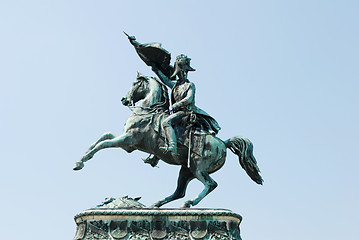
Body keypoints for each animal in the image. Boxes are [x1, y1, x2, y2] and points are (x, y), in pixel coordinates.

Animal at [74, 74, 264, 207]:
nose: (124, 99)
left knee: (210, 184)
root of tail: (223, 143)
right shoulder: (129, 144)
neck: (147, 110)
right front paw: (82, 158)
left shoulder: (128, 139)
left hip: (199, 169)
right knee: (179, 192)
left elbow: (103, 143)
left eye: (135, 83)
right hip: (186, 170)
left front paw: (81, 162)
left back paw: (189, 203)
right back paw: (156, 204)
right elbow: (103, 137)